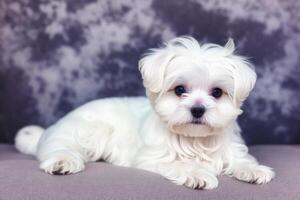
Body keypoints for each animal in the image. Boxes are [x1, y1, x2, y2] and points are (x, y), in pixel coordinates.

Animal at [15, 36, 274, 189]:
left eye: (217, 93)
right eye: (180, 90)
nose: (198, 109)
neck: (194, 140)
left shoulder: (231, 149)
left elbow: (239, 160)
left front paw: (252, 169)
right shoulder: (152, 159)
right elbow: (177, 164)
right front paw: (195, 173)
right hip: (85, 131)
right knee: (61, 147)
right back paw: (63, 161)